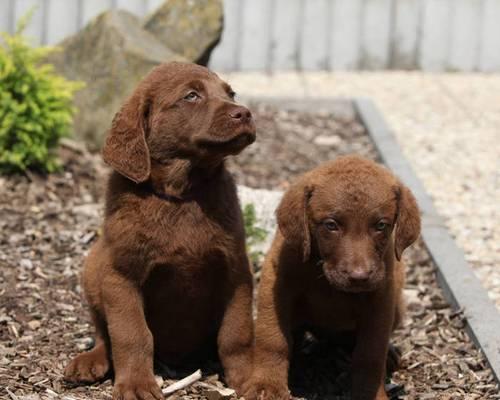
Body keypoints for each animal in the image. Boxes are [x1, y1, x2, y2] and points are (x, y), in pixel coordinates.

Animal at [64, 62, 256, 400]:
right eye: (191, 96)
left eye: (230, 93)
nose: (244, 113)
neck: (181, 196)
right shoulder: (121, 277)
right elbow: (131, 334)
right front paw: (136, 384)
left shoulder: (236, 272)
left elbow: (236, 333)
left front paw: (249, 379)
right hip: (93, 266)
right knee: (103, 333)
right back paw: (89, 361)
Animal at [244, 156, 420, 400]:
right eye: (331, 225)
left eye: (381, 225)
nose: (359, 276)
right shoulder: (276, 283)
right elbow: (272, 338)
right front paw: (266, 386)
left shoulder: (381, 299)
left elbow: (370, 355)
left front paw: (370, 393)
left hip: (397, 307)